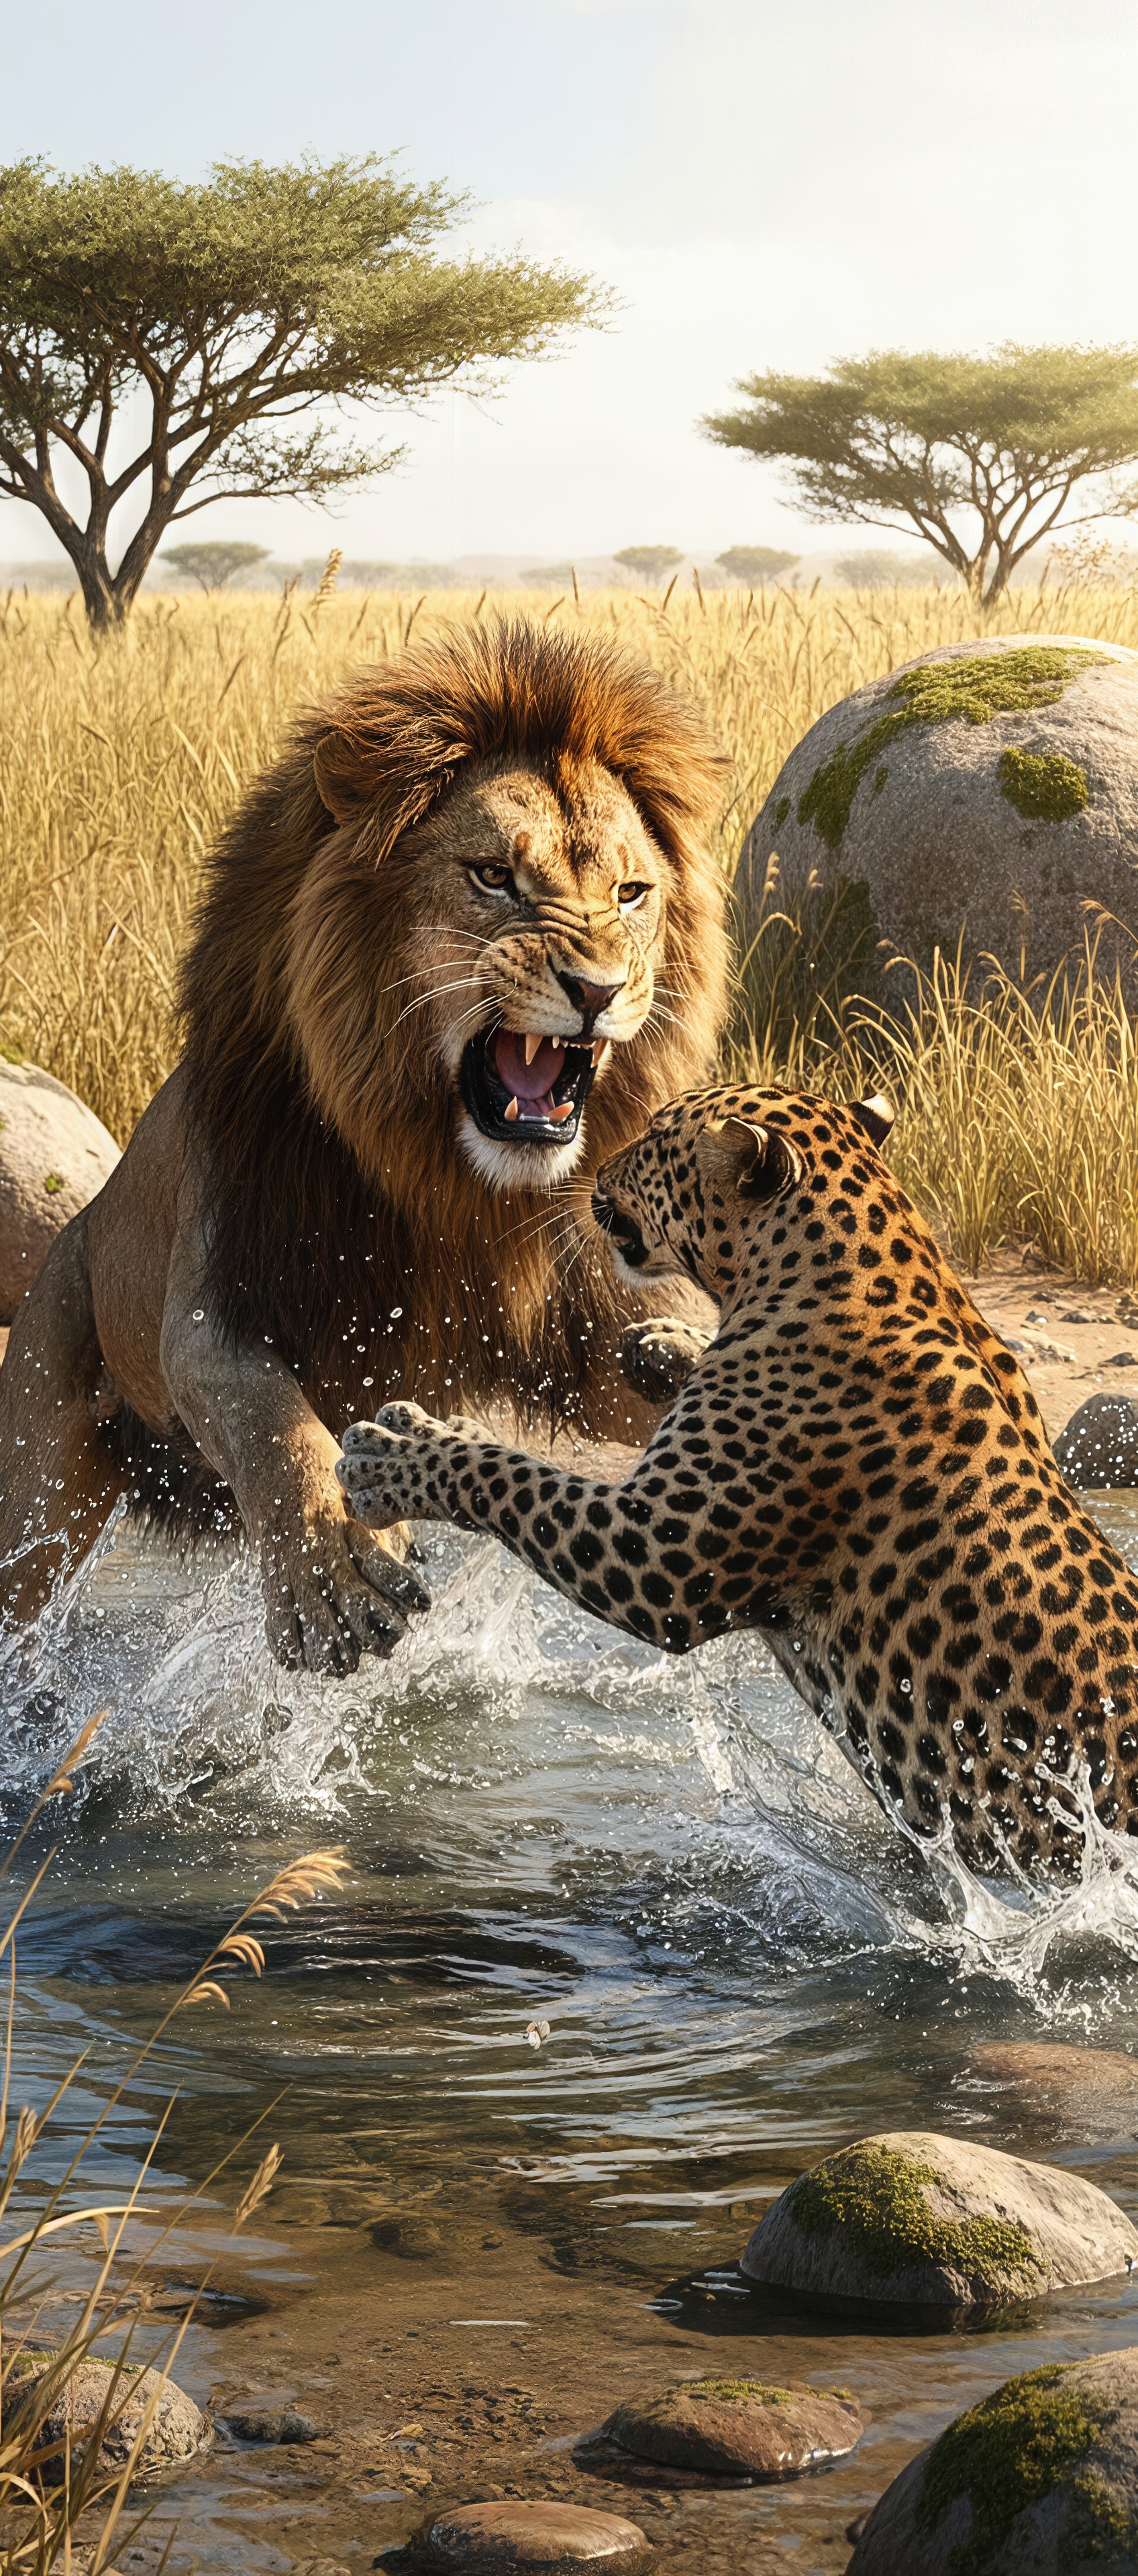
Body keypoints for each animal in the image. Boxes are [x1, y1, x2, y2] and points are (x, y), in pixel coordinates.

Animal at [0, 617, 728, 1673]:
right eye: (494, 876)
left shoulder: (589, 1335)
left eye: (632, 893)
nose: (598, 990)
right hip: (37, 1482)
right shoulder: (217, 1307)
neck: (452, 1186)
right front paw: (335, 1569)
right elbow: (267, 1420)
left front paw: (686, 1353)